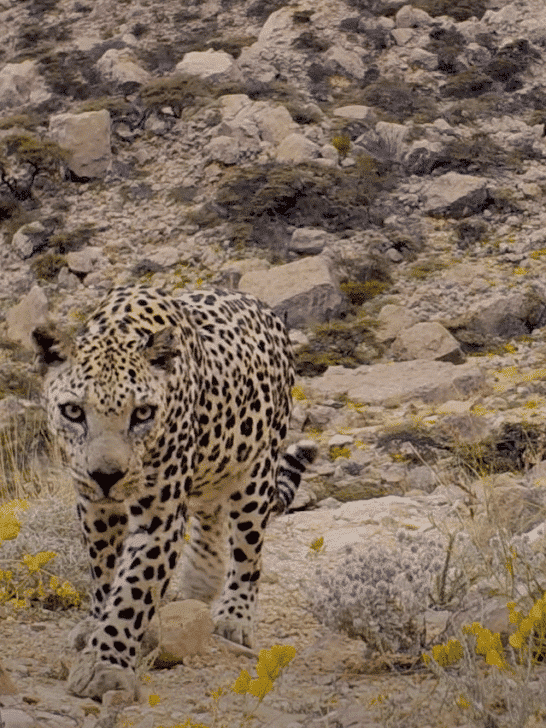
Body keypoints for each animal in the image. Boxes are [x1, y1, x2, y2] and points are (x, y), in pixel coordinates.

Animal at [32, 284, 317, 701]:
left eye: (142, 414)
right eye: (73, 411)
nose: (106, 476)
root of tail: (264, 307)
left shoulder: (159, 518)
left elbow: (133, 590)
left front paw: (105, 667)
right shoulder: (95, 509)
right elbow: (105, 574)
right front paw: (96, 626)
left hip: (256, 470)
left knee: (247, 551)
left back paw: (234, 618)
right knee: (210, 512)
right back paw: (201, 582)